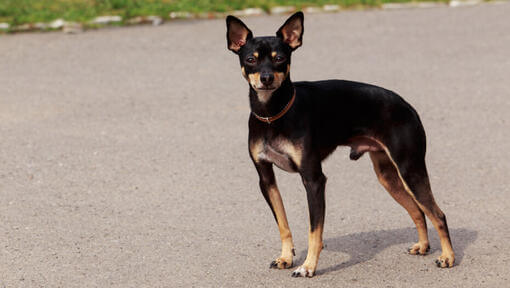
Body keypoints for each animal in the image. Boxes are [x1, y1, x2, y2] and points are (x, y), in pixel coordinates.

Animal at [227, 12, 454, 278]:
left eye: (280, 58)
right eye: (250, 59)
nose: (266, 78)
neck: (273, 115)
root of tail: (408, 106)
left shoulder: (314, 180)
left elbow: (314, 231)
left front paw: (308, 267)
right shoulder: (266, 179)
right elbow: (283, 224)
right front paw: (286, 257)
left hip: (410, 169)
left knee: (437, 214)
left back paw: (448, 257)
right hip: (388, 176)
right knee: (418, 211)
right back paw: (423, 246)